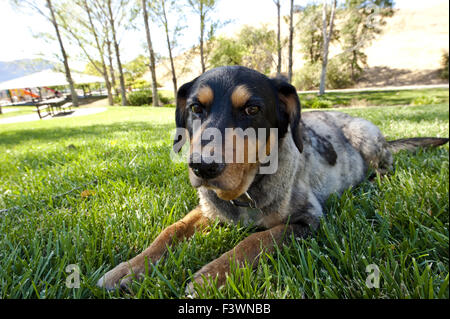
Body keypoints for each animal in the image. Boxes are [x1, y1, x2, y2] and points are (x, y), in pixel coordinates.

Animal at [97, 65, 446, 296]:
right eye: (196, 107)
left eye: (252, 109)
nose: (202, 167)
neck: (245, 194)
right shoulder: (207, 210)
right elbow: (169, 232)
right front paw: (129, 268)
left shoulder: (307, 222)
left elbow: (254, 240)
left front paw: (210, 276)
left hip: (367, 137)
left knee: (386, 168)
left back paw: (374, 183)